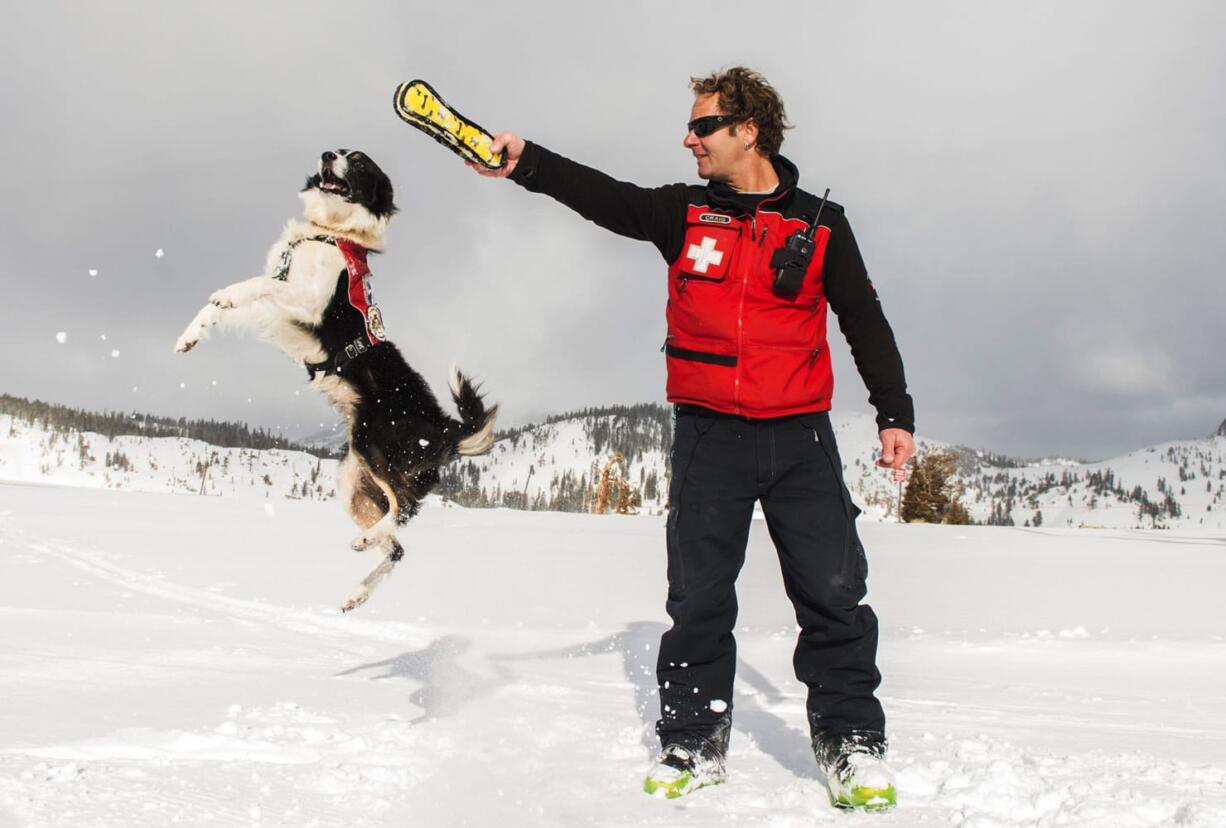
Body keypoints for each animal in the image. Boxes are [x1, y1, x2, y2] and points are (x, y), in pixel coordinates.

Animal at [174, 149, 497, 613]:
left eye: (358, 162)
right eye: (340, 151)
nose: (328, 155)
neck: (328, 232)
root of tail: (447, 427)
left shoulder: (308, 302)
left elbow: (257, 284)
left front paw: (228, 294)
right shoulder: (278, 312)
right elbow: (221, 309)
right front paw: (190, 336)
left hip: (375, 446)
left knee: (402, 508)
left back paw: (366, 541)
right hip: (353, 482)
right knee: (398, 546)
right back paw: (357, 592)